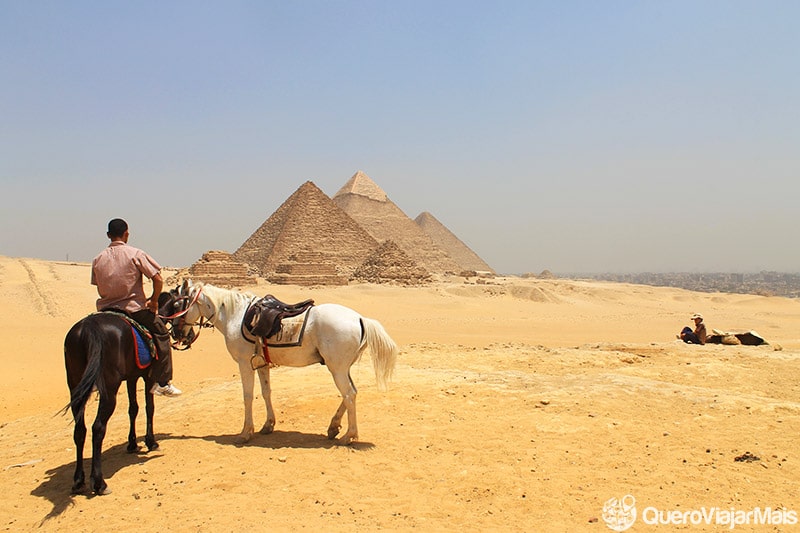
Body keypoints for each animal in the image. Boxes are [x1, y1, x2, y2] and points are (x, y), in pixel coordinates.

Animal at [65, 310, 162, 492]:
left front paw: (132, 443)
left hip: (75, 386)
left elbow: (133, 409)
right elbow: (149, 407)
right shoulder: (148, 376)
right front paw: (151, 442)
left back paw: (78, 480)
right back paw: (99, 483)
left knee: (80, 429)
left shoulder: (131, 377)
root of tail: (88, 327)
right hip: (109, 389)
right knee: (98, 428)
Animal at [164, 278, 398, 444]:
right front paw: (268, 425)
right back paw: (334, 427)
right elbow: (266, 392)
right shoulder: (261, 363)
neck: (234, 314)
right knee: (352, 392)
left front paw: (245, 433)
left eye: (177, 305)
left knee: (349, 394)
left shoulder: (243, 362)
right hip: (340, 367)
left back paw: (349, 435)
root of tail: (359, 318)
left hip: (337, 368)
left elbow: (247, 396)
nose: (176, 334)